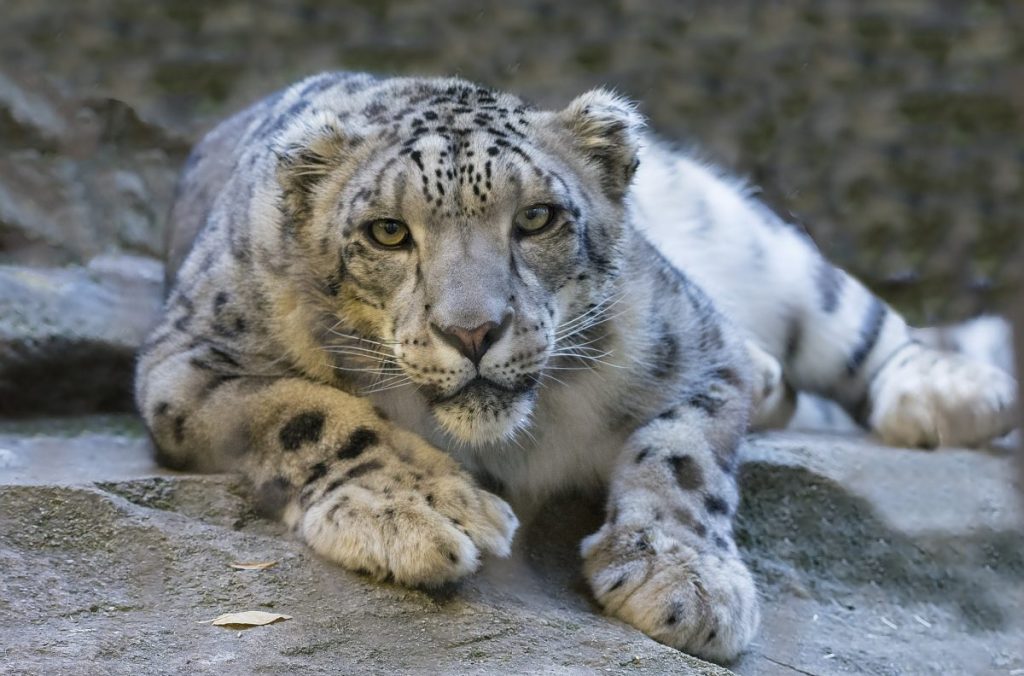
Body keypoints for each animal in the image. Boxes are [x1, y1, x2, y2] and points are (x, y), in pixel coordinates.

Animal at [135, 71, 1018, 663]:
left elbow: (684, 454)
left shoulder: (699, 343)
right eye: (387, 231)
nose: (473, 330)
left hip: (752, 238)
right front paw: (423, 511)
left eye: (537, 218)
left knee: (855, 318)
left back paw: (951, 391)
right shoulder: (189, 363)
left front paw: (684, 581)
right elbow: (307, 409)